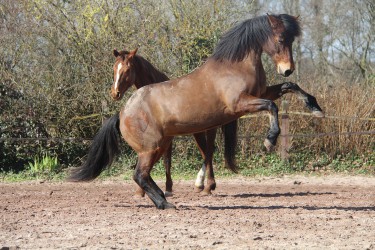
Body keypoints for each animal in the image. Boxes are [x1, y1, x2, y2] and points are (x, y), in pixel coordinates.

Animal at [69, 13, 324, 209]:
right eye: (280, 38)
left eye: (292, 39)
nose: (287, 69)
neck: (234, 67)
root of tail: (122, 112)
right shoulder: (240, 104)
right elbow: (272, 106)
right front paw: (270, 140)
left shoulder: (262, 92)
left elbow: (289, 88)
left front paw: (315, 108)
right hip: (151, 148)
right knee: (139, 175)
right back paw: (165, 203)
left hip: (160, 146)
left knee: (148, 173)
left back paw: (169, 195)